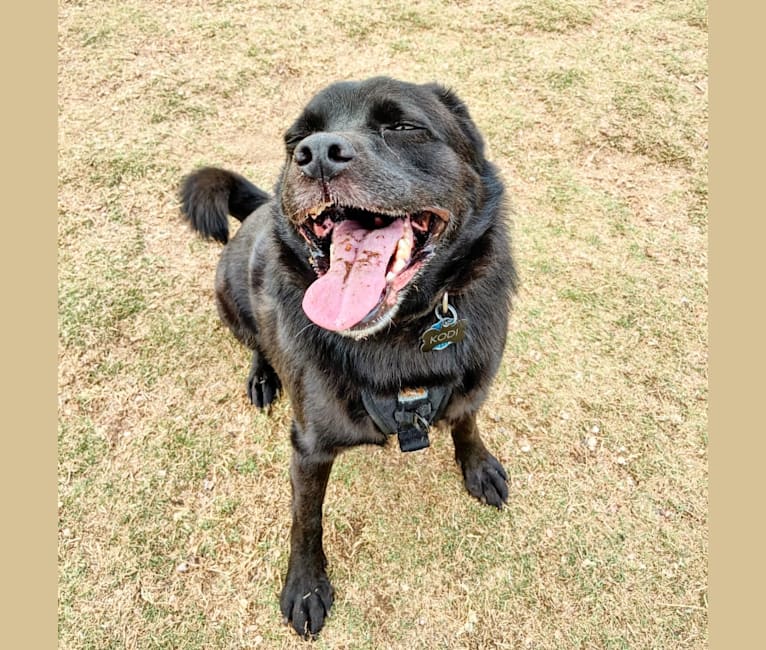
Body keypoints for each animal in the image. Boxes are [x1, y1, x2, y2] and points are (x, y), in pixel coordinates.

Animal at [178, 77, 520, 636]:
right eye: (297, 138)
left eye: (402, 126)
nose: (315, 155)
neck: (397, 337)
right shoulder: (309, 448)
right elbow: (306, 519)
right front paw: (305, 586)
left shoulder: (471, 382)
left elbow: (466, 420)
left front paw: (478, 465)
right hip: (229, 297)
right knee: (256, 343)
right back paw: (263, 378)